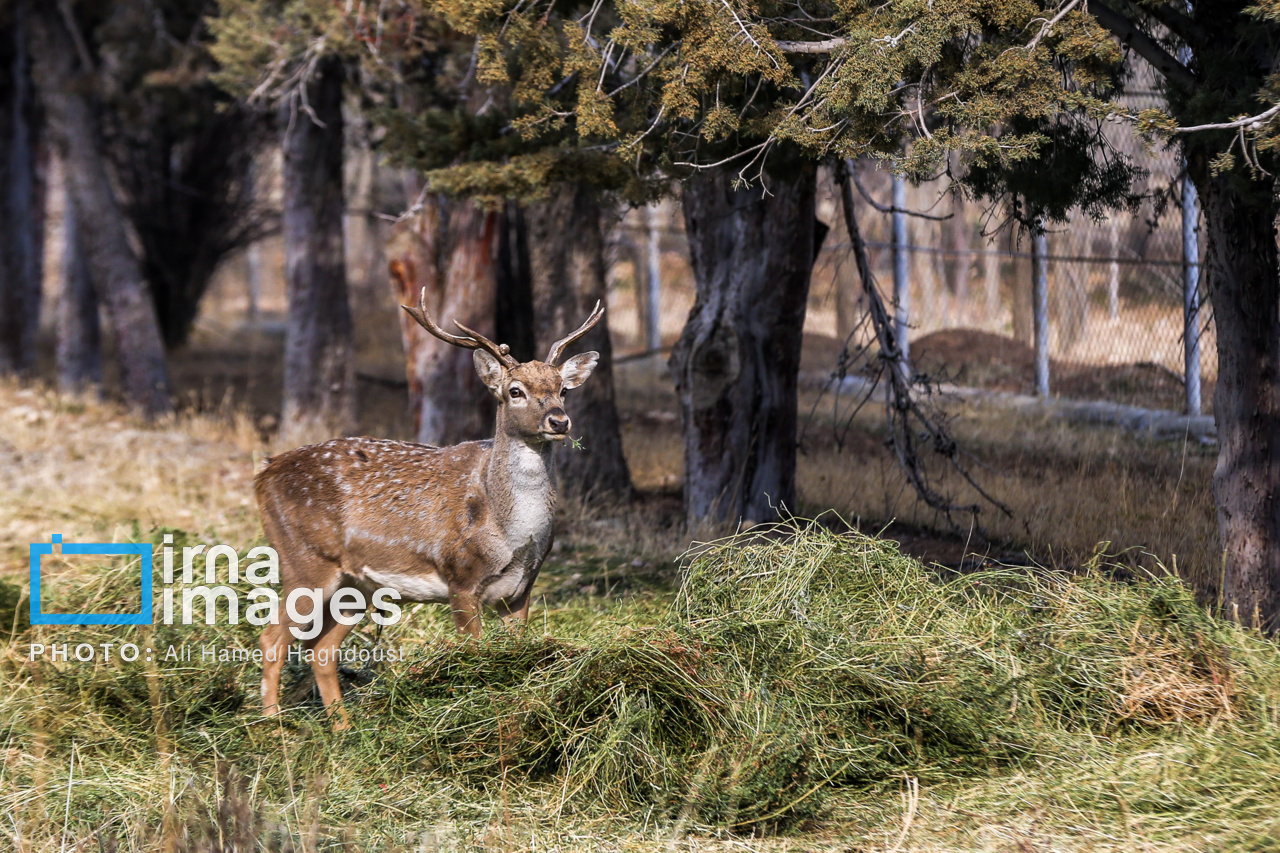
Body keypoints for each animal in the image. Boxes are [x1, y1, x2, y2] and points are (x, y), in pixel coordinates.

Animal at [257, 284, 606, 722]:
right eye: (515, 391)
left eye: (562, 389)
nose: (559, 421)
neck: (512, 533)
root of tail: (263, 473)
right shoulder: (460, 576)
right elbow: (475, 653)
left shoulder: (521, 589)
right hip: (304, 561)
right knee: (272, 638)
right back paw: (270, 728)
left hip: (354, 585)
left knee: (321, 648)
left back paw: (343, 729)